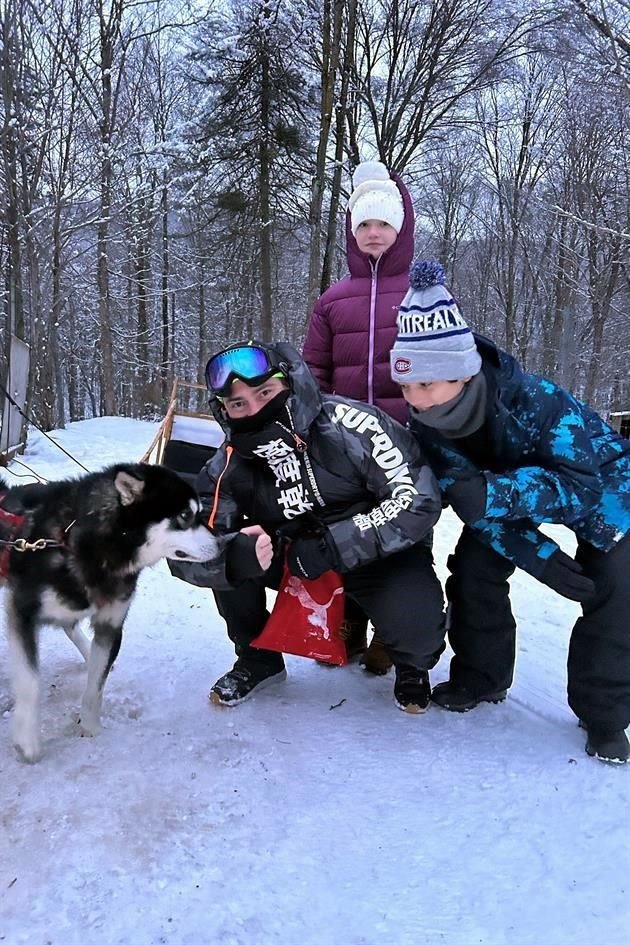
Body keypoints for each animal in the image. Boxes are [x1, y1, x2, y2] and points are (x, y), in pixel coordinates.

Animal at [0, 460, 217, 764]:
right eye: (186, 515)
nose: (222, 543)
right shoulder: (23, 612)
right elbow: (30, 683)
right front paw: (27, 741)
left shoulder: (111, 624)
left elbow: (96, 684)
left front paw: (90, 725)